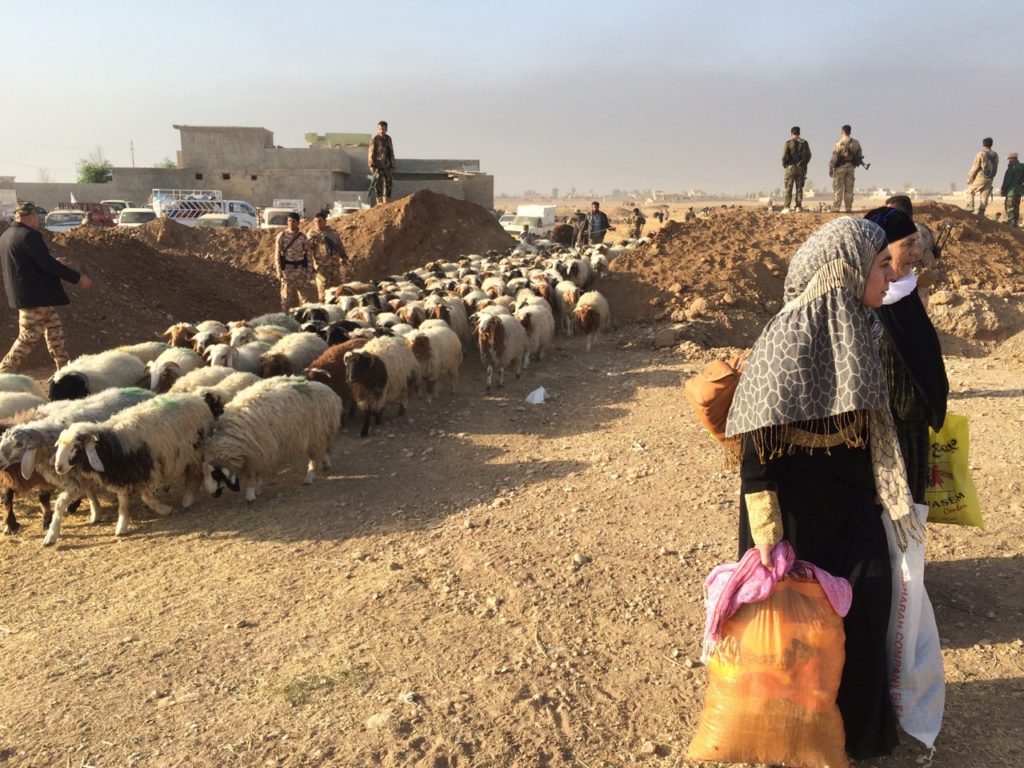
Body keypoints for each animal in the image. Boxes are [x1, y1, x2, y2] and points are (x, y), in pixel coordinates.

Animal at [201, 376, 342, 501]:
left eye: (215, 474)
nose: (213, 494)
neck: (233, 435)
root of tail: (330, 392)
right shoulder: (255, 452)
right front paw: (256, 490)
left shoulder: (258, 452)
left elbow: (252, 475)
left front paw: (251, 493)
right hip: (321, 433)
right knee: (324, 449)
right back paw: (326, 463)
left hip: (316, 433)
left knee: (314, 458)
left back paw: (309, 477)